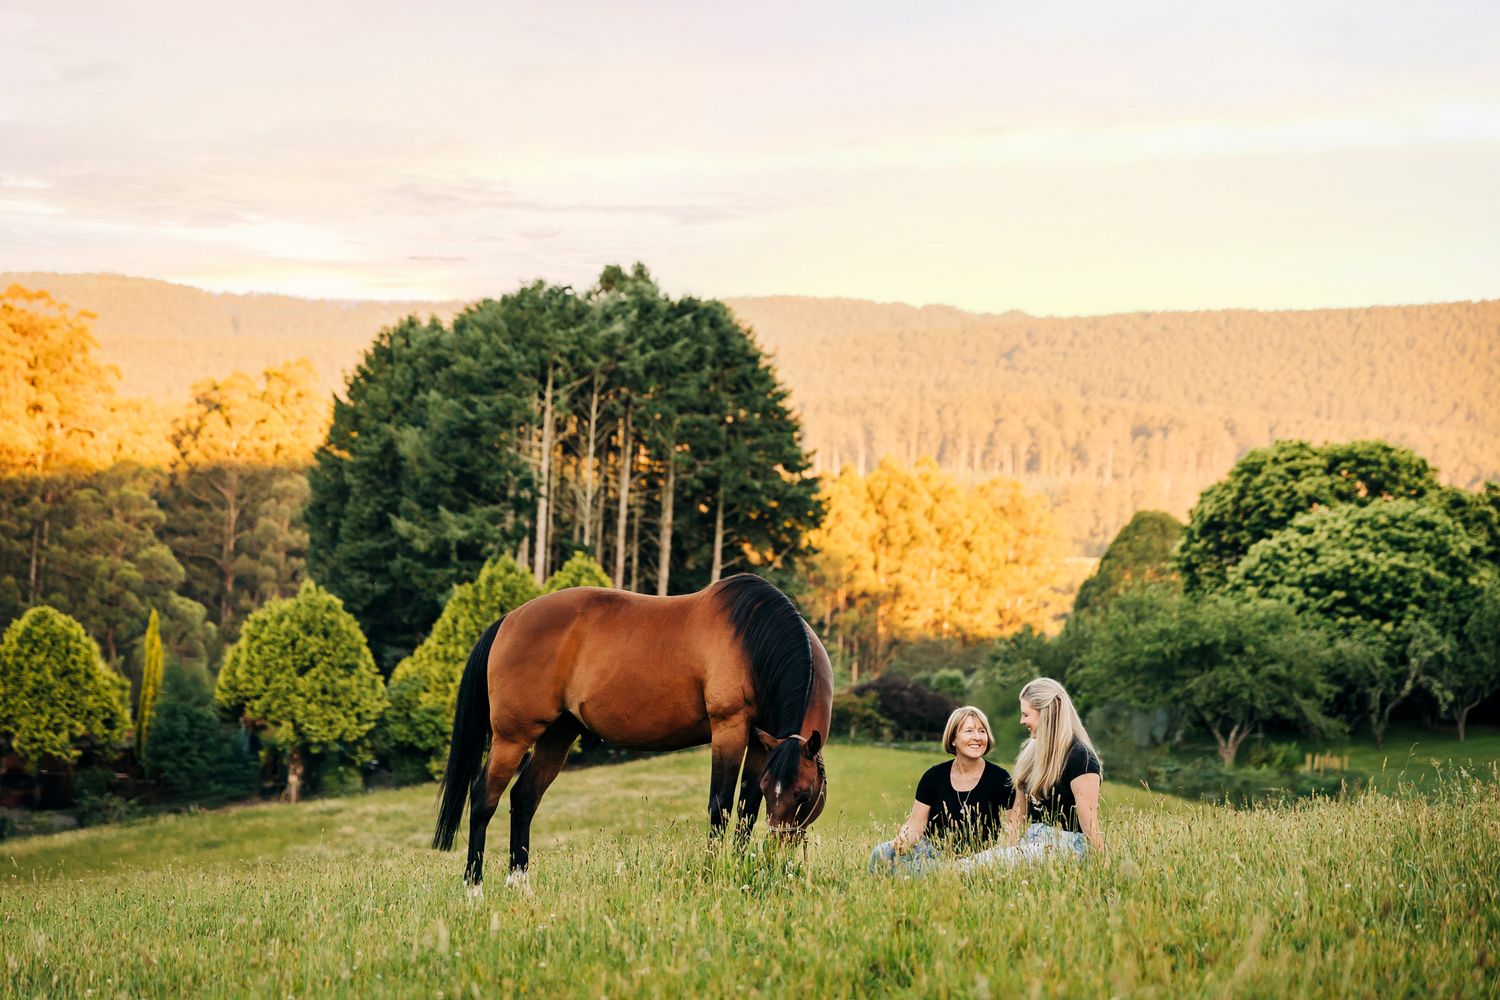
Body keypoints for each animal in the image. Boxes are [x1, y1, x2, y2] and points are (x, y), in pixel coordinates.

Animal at [431, 572, 833, 891]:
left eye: (803, 794)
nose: (778, 855)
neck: (752, 642)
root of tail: (509, 620)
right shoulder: (729, 728)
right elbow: (720, 807)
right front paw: (713, 873)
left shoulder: (761, 743)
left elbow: (747, 809)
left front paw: (742, 868)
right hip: (512, 738)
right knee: (484, 798)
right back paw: (474, 888)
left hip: (558, 735)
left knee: (524, 798)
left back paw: (520, 884)